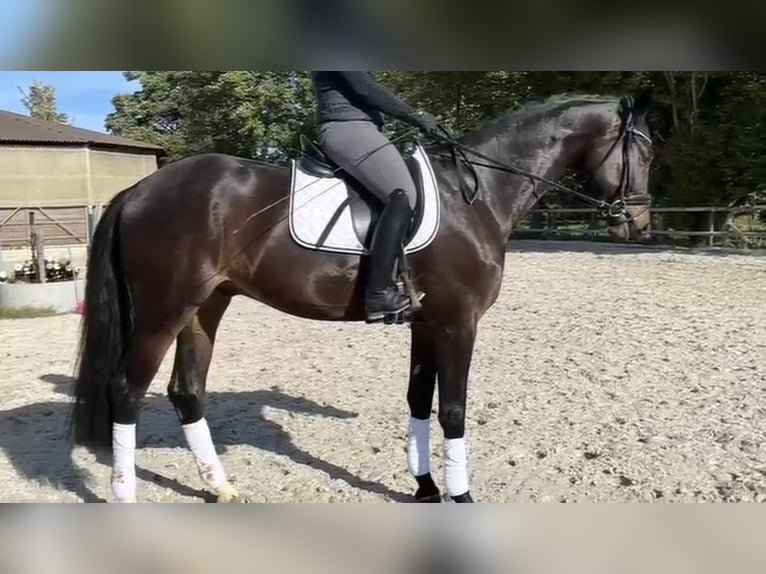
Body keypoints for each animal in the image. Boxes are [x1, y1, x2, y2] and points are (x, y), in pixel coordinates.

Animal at [70, 93, 656, 504]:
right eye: (646, 151)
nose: (640, 225)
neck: (477, 195)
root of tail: (140, 190)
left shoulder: (427, 322)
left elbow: (419, 400)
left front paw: (426, 487)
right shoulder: (459, 322)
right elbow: (454, 409)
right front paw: (461, 494)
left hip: (204, 307)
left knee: (186, 391)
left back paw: (221, 487)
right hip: (161, 311)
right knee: (126, 391)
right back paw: (127, 495)